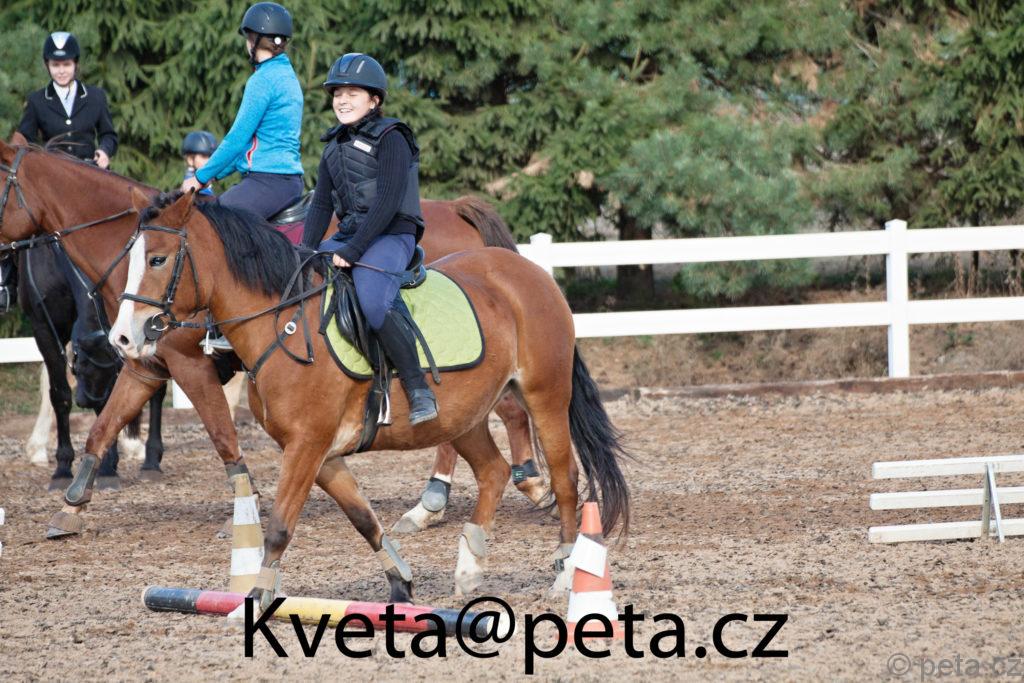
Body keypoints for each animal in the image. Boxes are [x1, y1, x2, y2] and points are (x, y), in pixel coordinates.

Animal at [0, 138, 547, 539]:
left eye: (156, 258)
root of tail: (457, 209)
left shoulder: (189, 366)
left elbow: (223, 437)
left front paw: (244, 507)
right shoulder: (145, 364)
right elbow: (103, 426)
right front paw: (72, 504)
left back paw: (439, 499)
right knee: (500, 410)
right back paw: (517, 481)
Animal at [111, 190, 630, 604]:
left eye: (157, 260)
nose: (121, 337)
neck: (284, 323)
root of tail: (529, 272)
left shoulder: (306, 446)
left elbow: (279, 527)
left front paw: (256, 596)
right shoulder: (322, 455)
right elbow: (362, 518)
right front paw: (400, 582)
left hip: (545, 398)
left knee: (565, 479)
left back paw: (565, 574)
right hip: (463, 417)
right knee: (493, 471)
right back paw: (469, 567)